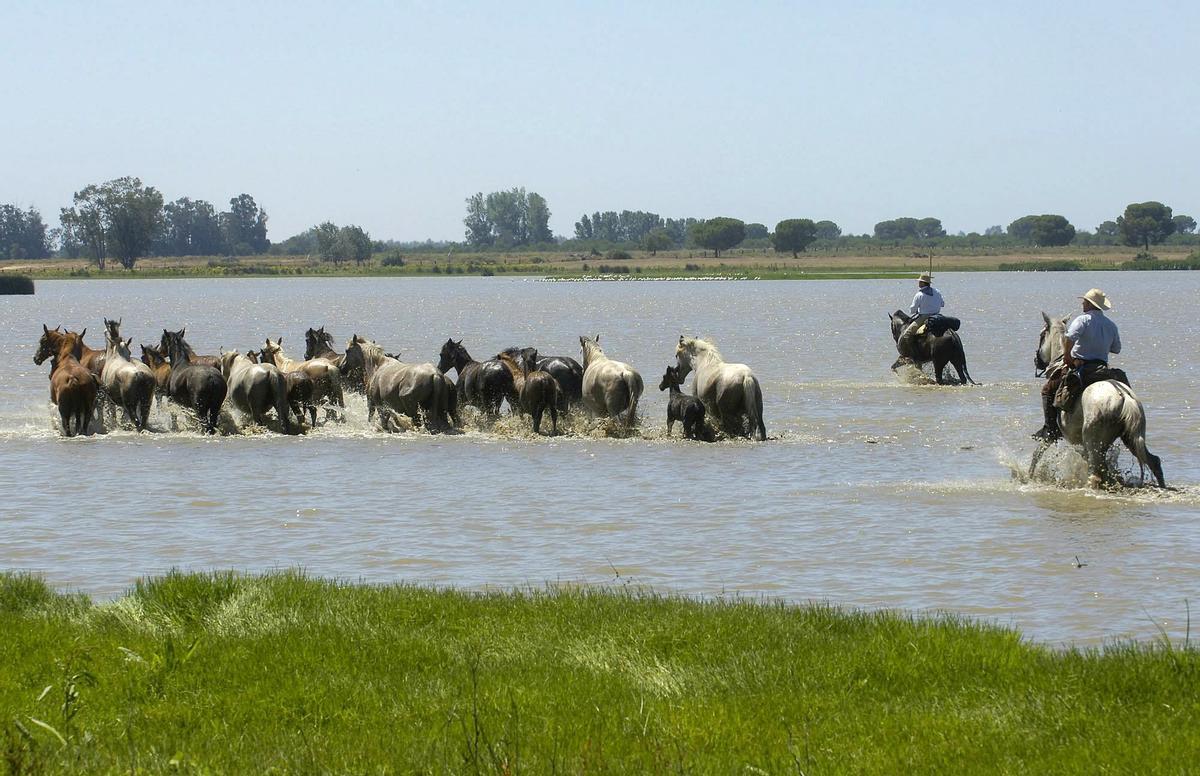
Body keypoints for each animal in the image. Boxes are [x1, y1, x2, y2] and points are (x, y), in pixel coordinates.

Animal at [1032, 311, 1161, 489]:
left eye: (1041, 335)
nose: (1036, 361)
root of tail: (1125, 398)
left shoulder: (1055, 435)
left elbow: (1038, 452)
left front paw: (1026, 476)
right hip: (1131, 437)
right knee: (1153, 461)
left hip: (1093, 440)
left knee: (1096, 474)